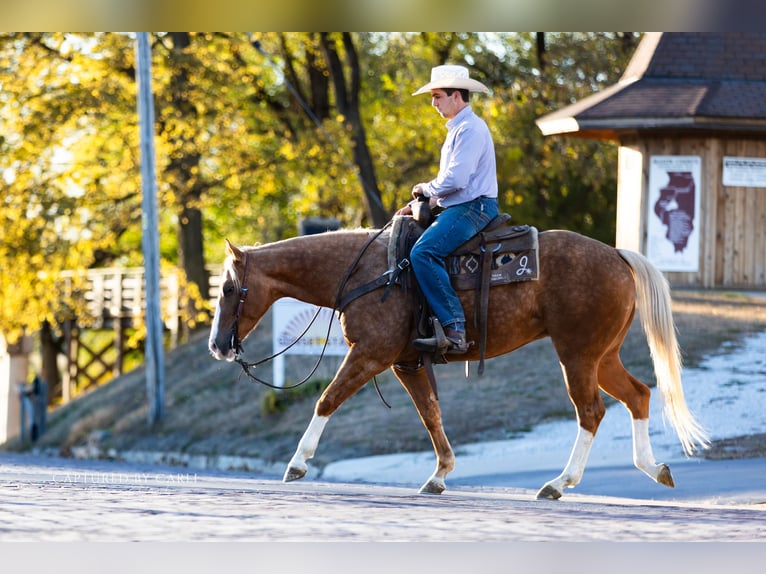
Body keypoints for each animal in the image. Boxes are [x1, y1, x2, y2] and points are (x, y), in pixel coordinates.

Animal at [208, 224, 709, 499]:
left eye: (229, 288)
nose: (217, 346)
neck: (372, 273)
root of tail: (618, 255)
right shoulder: (406, 363)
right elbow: (431, 415)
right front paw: (440, 475)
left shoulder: (370, 354)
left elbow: (326, 401)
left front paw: (297, 463)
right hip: (601, 356)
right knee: (638, 395)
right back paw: (653, 468)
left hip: (578, 355)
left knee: (591, 412)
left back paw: (558, 483)